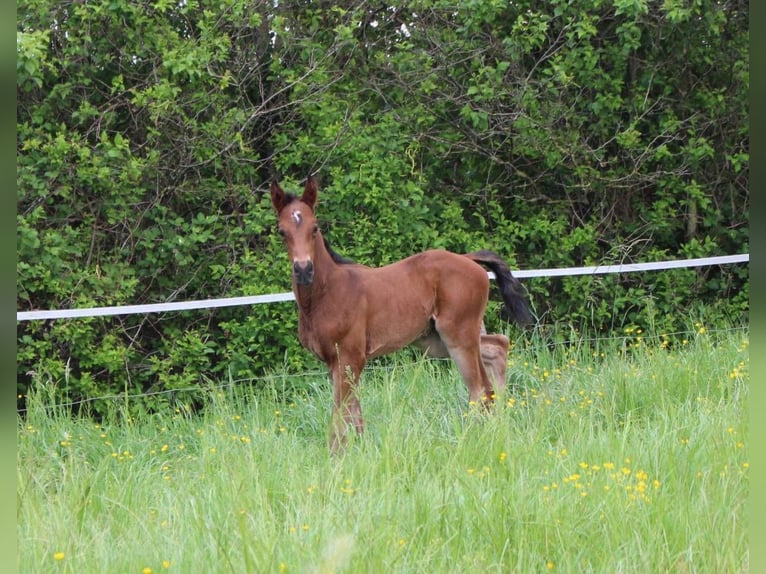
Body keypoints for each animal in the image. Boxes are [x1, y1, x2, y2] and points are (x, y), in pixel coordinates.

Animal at [272, 178, 532, 452]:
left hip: (457, 335)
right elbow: (355, 415)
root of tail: (469, 259)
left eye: (315, 228)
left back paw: (472, 438)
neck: (327, 292)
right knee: (498, 347)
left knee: (480, 388)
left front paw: (337, 456)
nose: (303, 269)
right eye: (281, 231)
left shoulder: (351, 357)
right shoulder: (335, 362)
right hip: (438, 340)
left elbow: (340, 415)